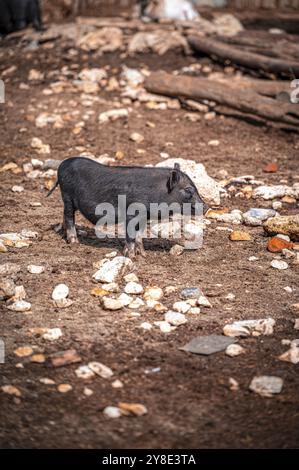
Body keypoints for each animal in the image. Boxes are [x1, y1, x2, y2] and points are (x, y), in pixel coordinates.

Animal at [48, 157, 209, 258]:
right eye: (188, 189)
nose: (207, 207)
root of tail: (62, 164)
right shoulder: (132, 213)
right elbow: (130, 234)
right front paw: (131, 256)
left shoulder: (144, 217)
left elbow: (139, 235)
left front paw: (143, 254)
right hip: (67, 196)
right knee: (69, 216)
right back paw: (74, 242)